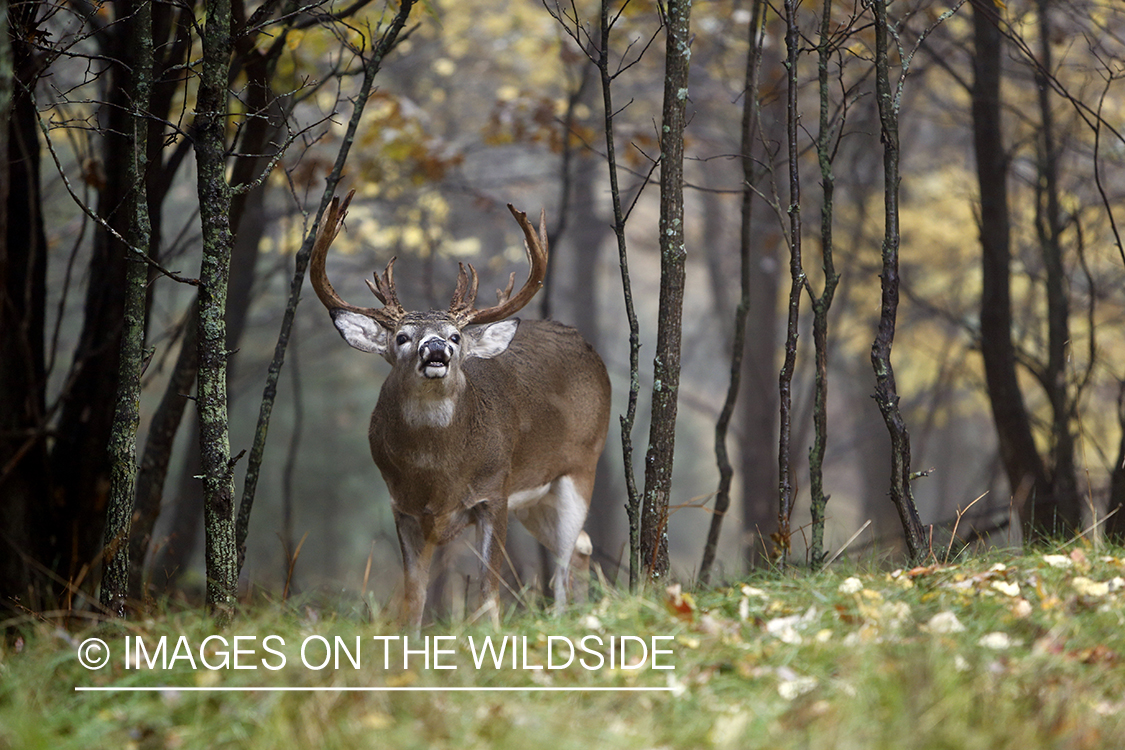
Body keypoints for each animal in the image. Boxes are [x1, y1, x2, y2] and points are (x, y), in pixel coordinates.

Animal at [308, 191, 612, 629]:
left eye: (454, 336)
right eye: (402, 337)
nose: (435, 348)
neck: (438, 473)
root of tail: (588, 348)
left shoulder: (494, 494)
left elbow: (488, 590)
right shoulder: (402, 506)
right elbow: (414, 595)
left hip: (580, 465)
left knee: (564, 557)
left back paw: (561, 621)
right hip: (536, 497)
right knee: (581, 547)